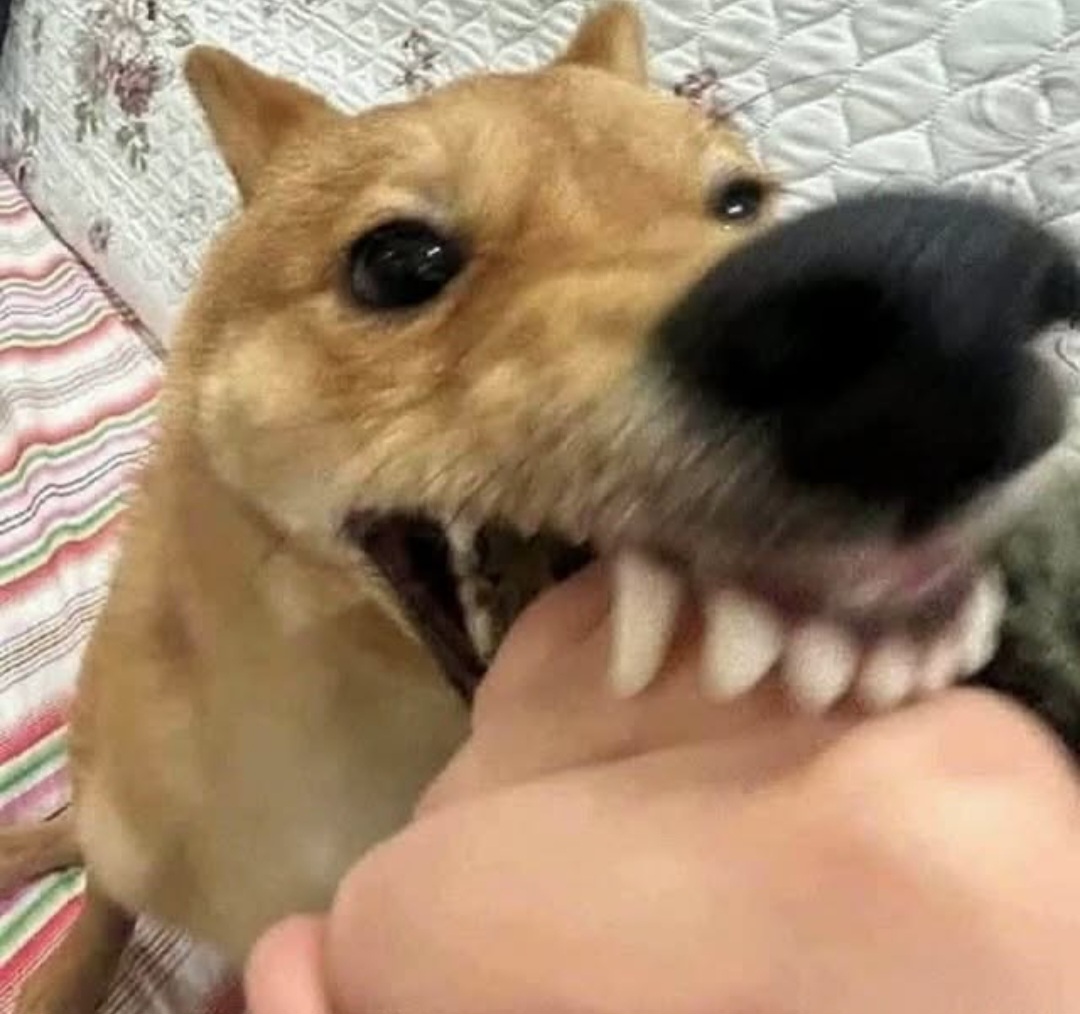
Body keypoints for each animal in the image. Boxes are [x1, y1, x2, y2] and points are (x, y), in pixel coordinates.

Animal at [3, 3, 1079, 1011]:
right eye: (398, 261)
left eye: (741, 201)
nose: (946, 286)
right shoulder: (132, 835)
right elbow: (102, 909)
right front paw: (61, 979)